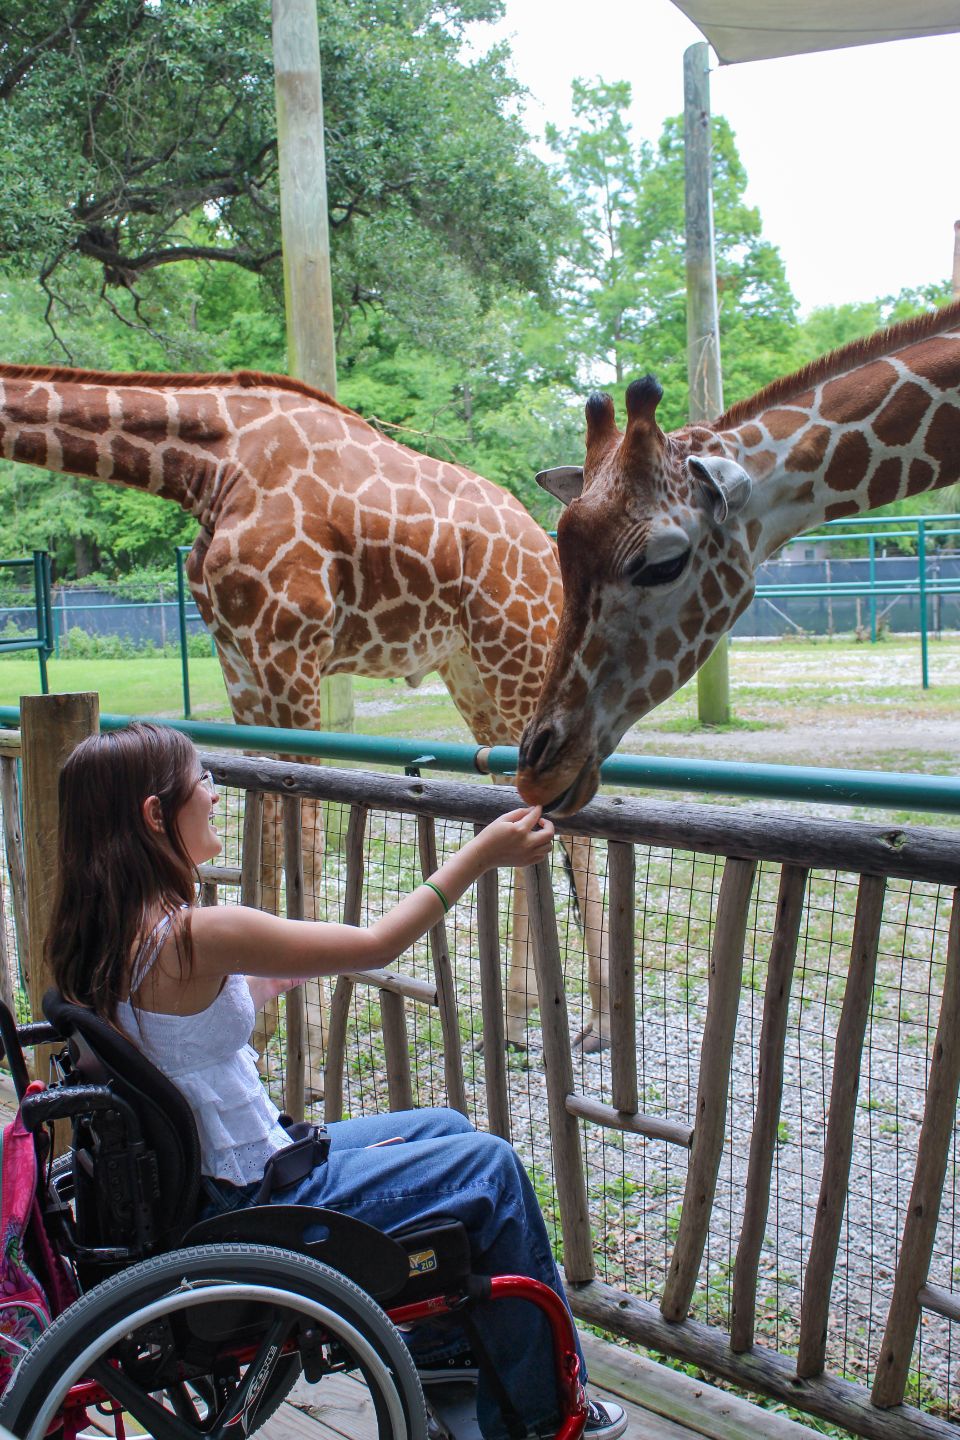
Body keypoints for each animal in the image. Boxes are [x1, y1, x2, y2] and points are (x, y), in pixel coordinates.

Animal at [0, 363, 611, 1070]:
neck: (210, 465)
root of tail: (545, 545)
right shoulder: (240, 663)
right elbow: (262, 833)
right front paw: (262, 1032)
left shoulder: (288, 650)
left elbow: (305, 836)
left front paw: (311, 1050)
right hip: (471, 673)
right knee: (522, 798)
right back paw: (513, 1022)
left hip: (517, 654)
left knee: (574, 822)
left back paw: (595, 1026)